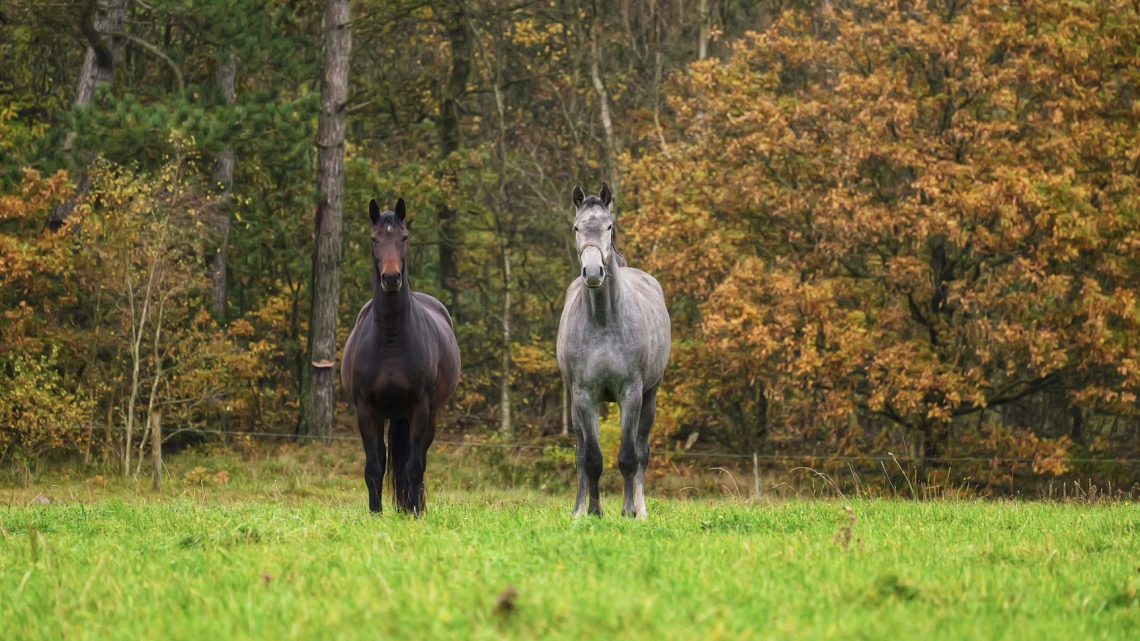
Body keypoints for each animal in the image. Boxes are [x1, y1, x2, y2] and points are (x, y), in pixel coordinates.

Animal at [339, 198, 460, 513]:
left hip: (428, 416)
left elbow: (414, 467)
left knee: (418, 462)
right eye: (374, 239)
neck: (391, 339)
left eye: (403, 238)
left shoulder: (419, 409)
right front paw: (375, 513)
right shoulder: (366, 410)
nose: (391, 278)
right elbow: (374, 467)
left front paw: (414, 513)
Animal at [556, 182, 670, 515]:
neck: (603, 322)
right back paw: (579, 510)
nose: (593, 272)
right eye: (577, 227)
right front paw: (593, 512)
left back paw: (640, 509)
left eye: (609, 226)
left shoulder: (630, 393)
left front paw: (629, 512)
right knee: (581, 454)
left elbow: (629, 457)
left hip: (649, 397)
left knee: (641, 451)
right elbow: (591, 459)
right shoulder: (584, 395)